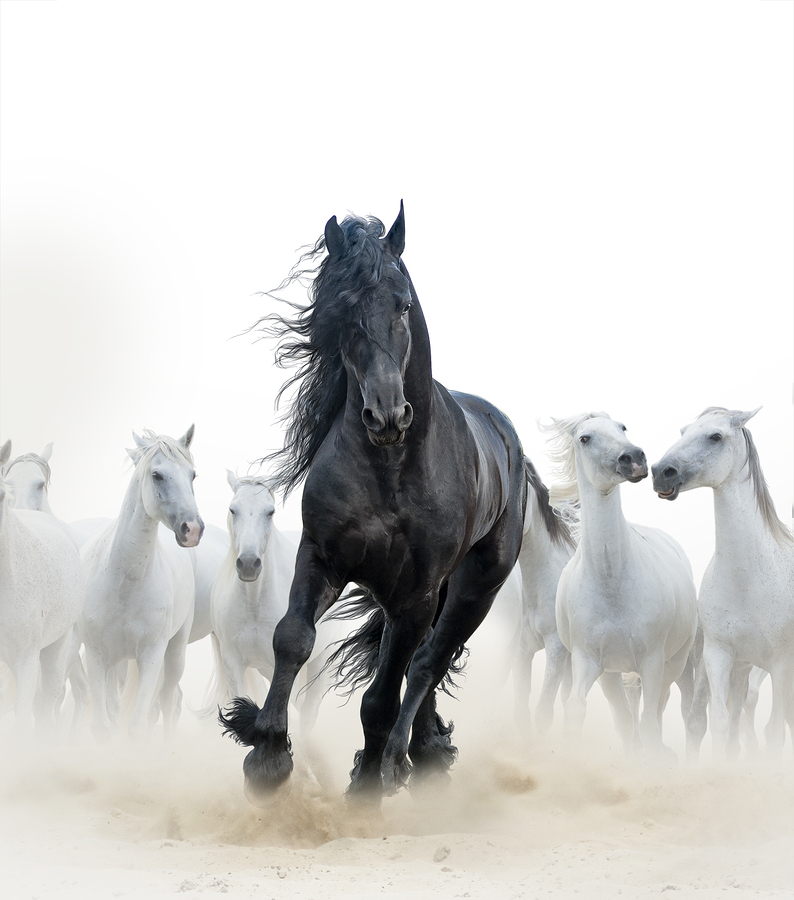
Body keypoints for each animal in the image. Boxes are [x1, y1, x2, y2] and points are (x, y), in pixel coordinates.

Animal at [80, 426, 204, 741]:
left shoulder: (151, 655)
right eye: (156, 474)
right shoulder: (97, 656)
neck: (125, 584)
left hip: (175, 654)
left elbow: (137, 726)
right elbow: (103, 727)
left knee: (168, 700)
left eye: (192, 475)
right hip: (116, 664)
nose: (192, 529)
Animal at [219, 203, 527, 802]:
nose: (386, 415)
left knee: (428, 662)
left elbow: (383, 696)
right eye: (342, 311)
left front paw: (366, 787)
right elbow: (292, 639)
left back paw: (402, 760)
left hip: (474, 589)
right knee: (419, 664)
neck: (392, 472)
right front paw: (266, 756)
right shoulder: (322, 558)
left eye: (403, 303)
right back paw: (420, 753)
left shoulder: (417, 594)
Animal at [543, 413, 698, 756]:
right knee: (625, 717)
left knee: (658, 707)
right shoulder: (589, 661)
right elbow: (580, 708)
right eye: (585, 438)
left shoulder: (652, 662)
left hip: (674, 662)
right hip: (611, 675)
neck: (612, 583)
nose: (634, 458)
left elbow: (649, 722)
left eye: (621, 427)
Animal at [652, 407, 794, 757]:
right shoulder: (719, 656)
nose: (661, 472)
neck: (748, 579)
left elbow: (775, 731)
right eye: (683, 431)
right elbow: (717, 721)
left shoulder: (781, 664)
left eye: (715, 436)